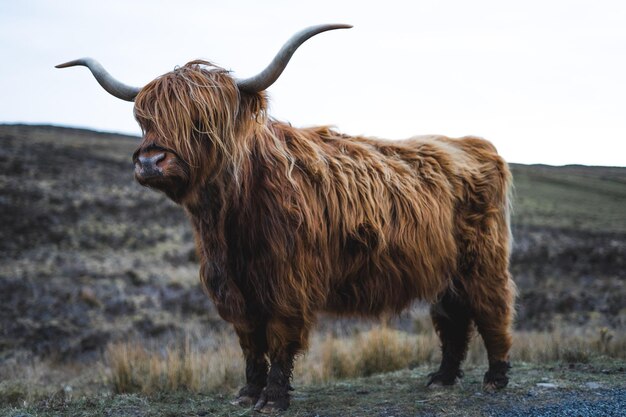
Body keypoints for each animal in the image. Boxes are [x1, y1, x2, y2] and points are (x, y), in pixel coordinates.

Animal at [56, 23, 516, 412]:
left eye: (202, 120)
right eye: (144, 119)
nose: (150, 161)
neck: (229, 219)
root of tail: (473, 144)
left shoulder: (287, 282)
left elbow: (278, 338)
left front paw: (273, 399)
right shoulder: (233, 287)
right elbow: (249, 341)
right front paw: (248, 392)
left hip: (482, 259)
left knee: (491, 308)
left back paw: (495, 377)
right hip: (445, 269)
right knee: (452, 317)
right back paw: (443, 377)